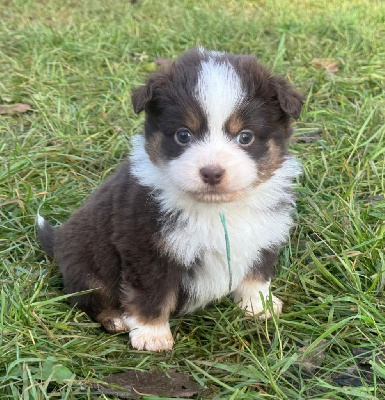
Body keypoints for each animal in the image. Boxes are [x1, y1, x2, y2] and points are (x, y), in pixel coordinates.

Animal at [38, 48, 304, 352]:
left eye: (245, 136)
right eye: (183, 134)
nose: (212, 172)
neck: (217, 210)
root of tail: (58, 239)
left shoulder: (262, 234)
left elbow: (256, 274)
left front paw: (259, 306)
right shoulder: (146, 247)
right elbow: (152, 293)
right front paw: (152, 334)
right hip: (87, 264)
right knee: (87, 298)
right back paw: (115, 319)